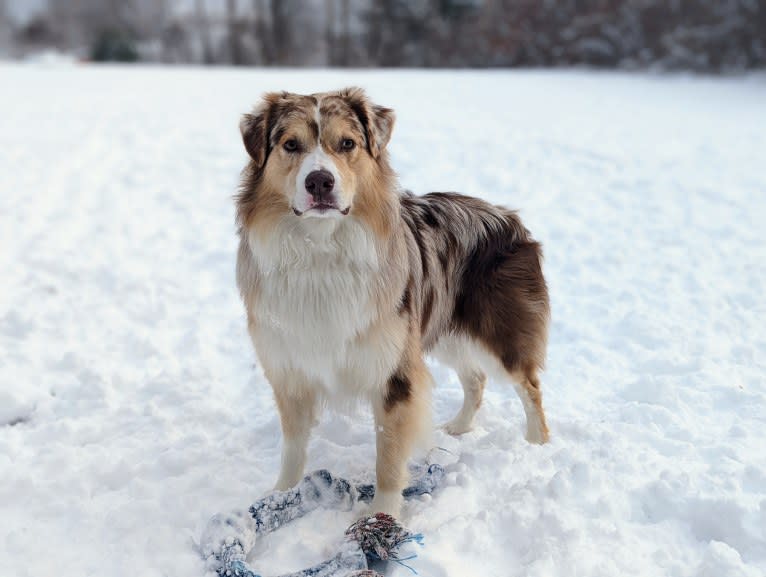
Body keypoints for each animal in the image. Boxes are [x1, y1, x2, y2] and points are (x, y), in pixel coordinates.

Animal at [237, 88, 548, 516]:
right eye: (290, 145)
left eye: (347, 144)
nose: (320, 181)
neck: (320, 250)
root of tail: (509, 216)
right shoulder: (289, 367)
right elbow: (293, 448)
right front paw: (281, 495)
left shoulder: (394, 371)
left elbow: (387, 452)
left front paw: (381, 516)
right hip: (444, 330)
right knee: (476, 378)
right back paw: (460, 427)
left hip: (497, 334)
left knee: (529, 386)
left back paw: (538, 447)